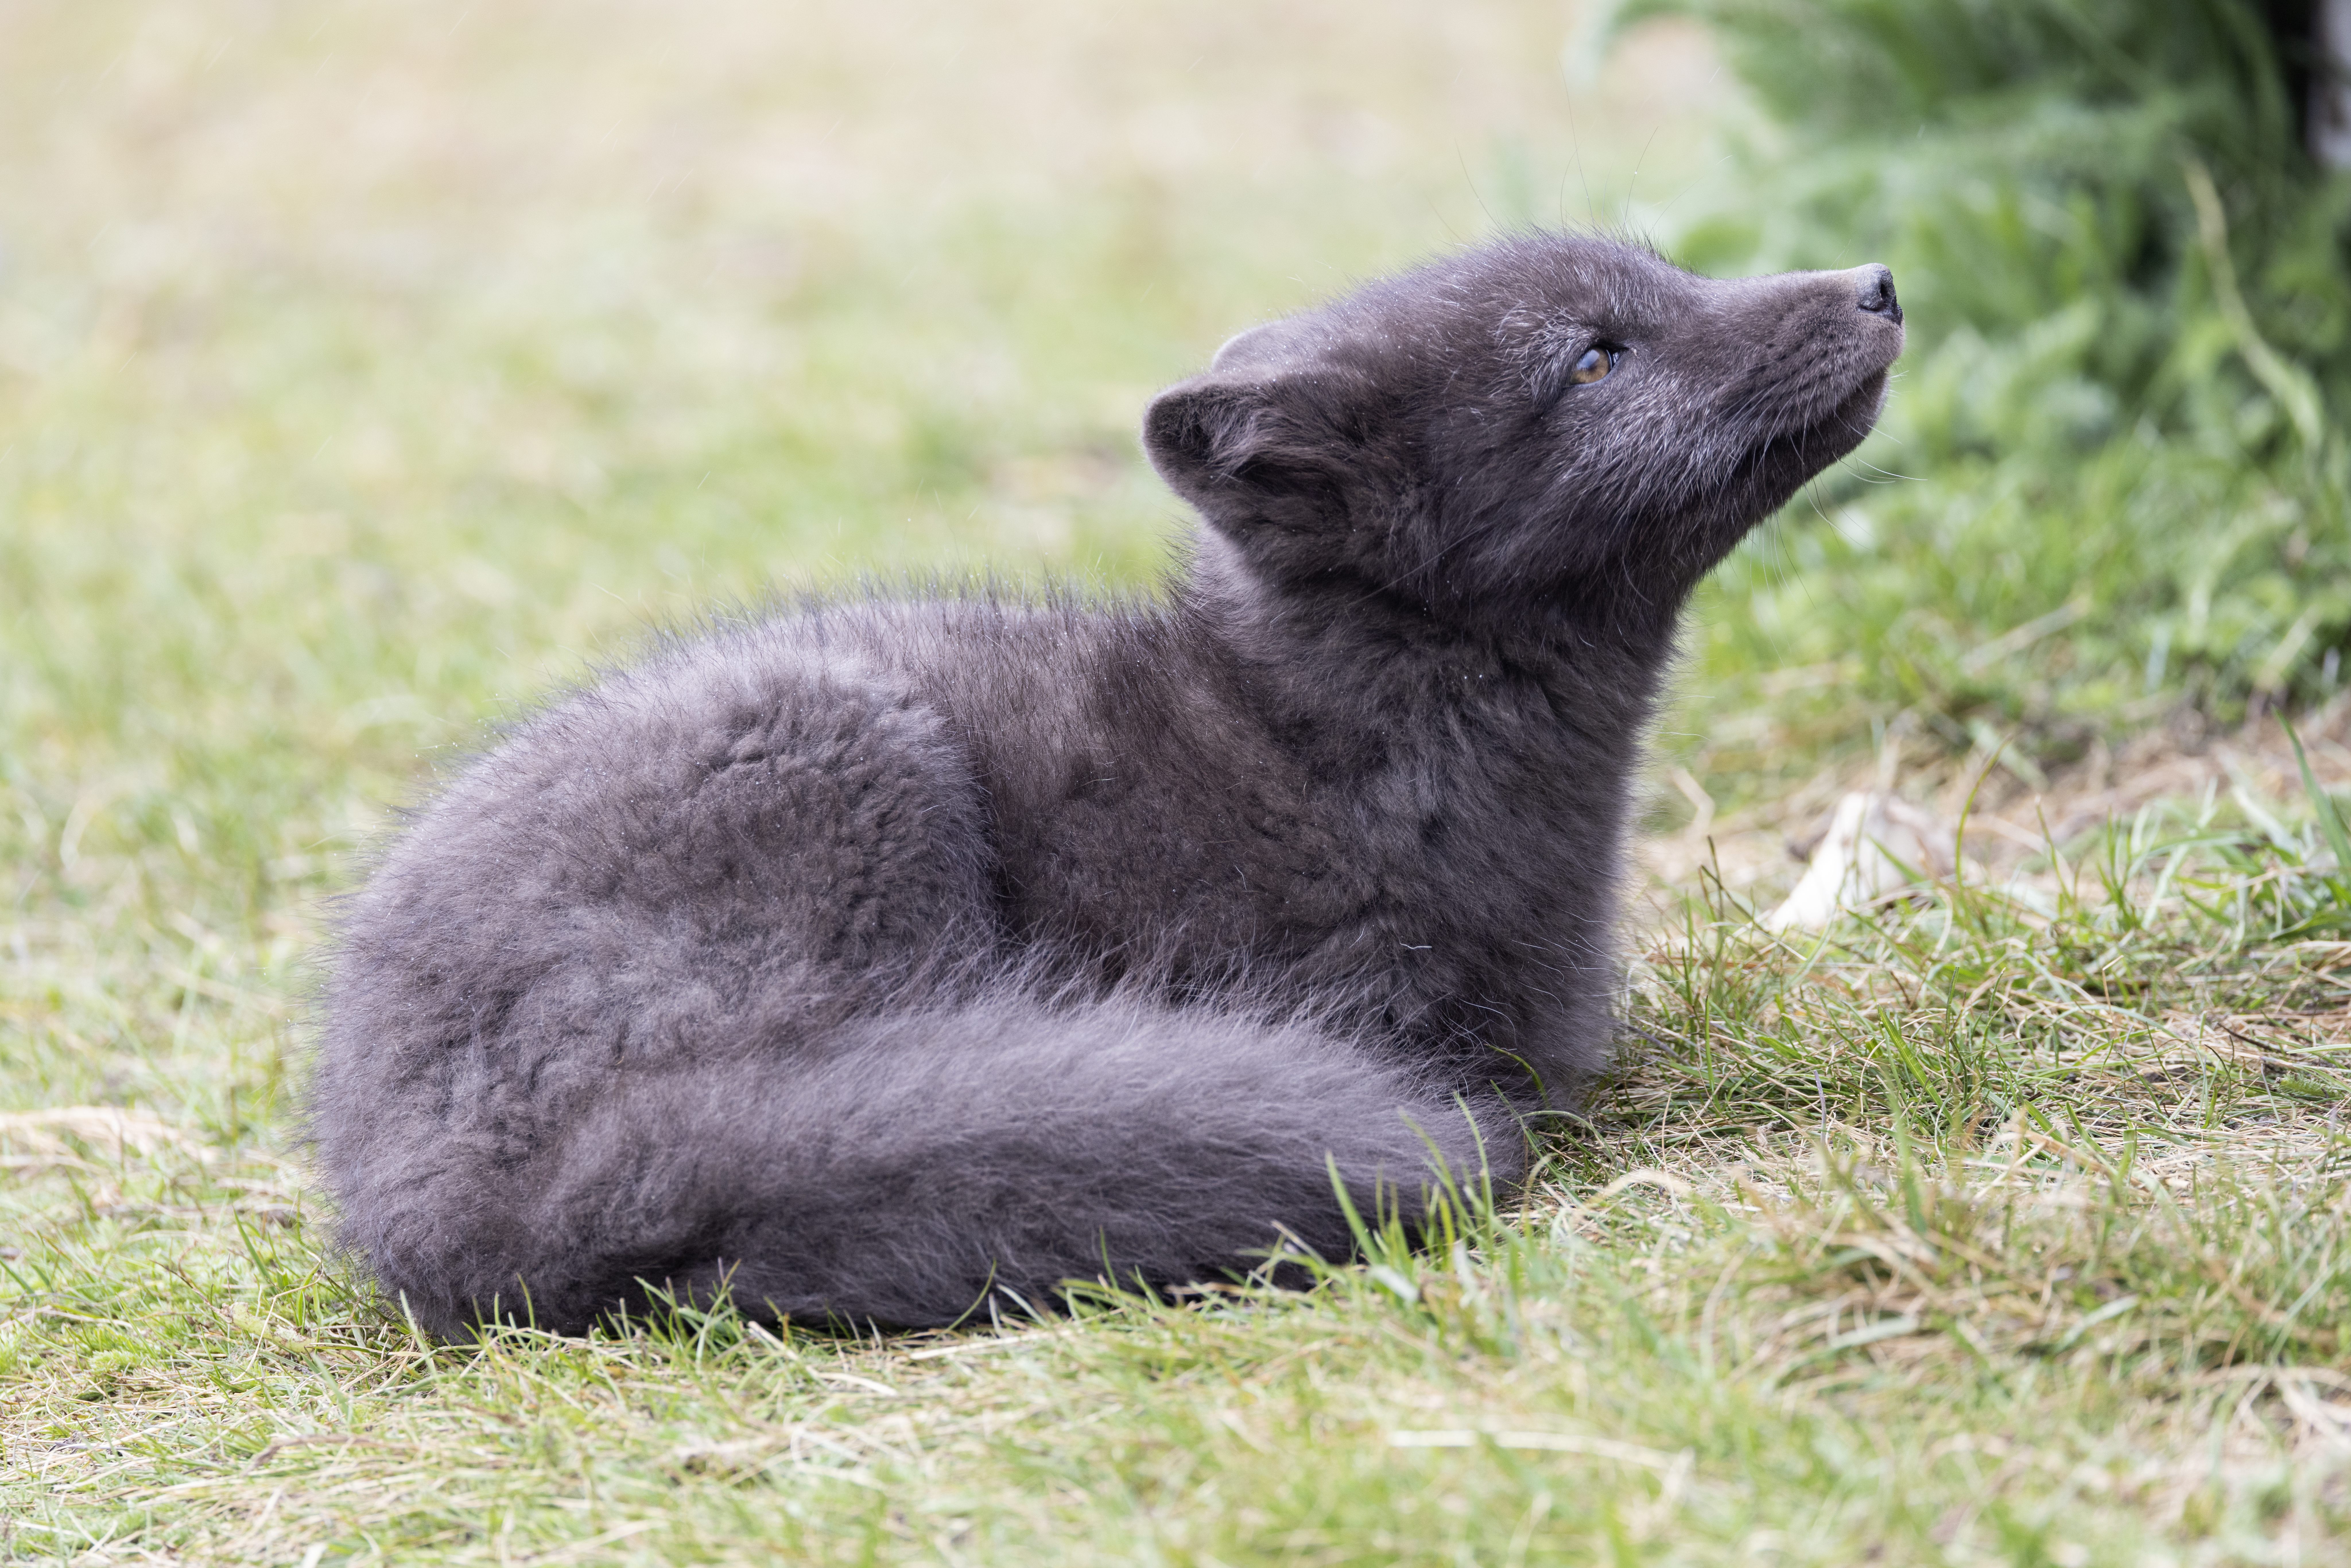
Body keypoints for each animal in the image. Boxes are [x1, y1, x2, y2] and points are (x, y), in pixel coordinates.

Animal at [312, 233, 1904, 1337]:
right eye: (1592, 359)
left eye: (1675, 275)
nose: (1878, 283)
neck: (1333, 741)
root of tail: (430, 1186)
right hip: (850, 772)